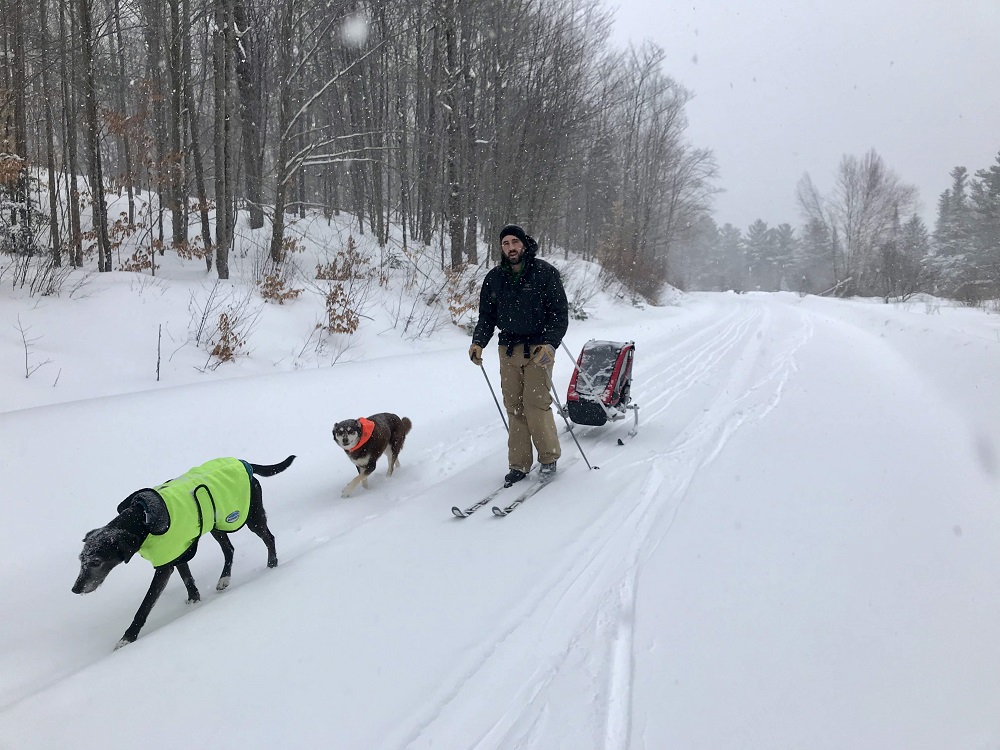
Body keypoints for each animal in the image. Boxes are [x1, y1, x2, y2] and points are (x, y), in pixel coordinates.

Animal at [73, 456, 294, 648]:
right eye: (81, 560)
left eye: (95, 562)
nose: (75, 589)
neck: (141, 518)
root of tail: (243, 462)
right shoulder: (177, 554)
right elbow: (188, 579)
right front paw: (194, 601)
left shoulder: (164, 567)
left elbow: (145, 605)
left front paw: (127, 638)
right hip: (215, 523)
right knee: (229, 549)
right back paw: (224, 578)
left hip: (251, 517)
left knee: (269, 538)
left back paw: (271, 565)